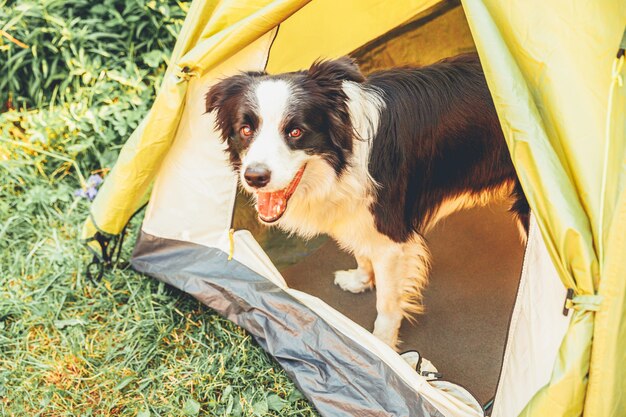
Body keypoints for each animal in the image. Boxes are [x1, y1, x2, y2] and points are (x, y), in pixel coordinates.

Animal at [206, 53, 528, 350]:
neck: (340, 161)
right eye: (246, 129)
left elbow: (386, 302)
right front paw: (359, 280)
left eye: (295, 131)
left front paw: (382, 345)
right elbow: (360, 250)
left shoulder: (391, 236)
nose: (254, 177)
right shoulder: (353, 213)